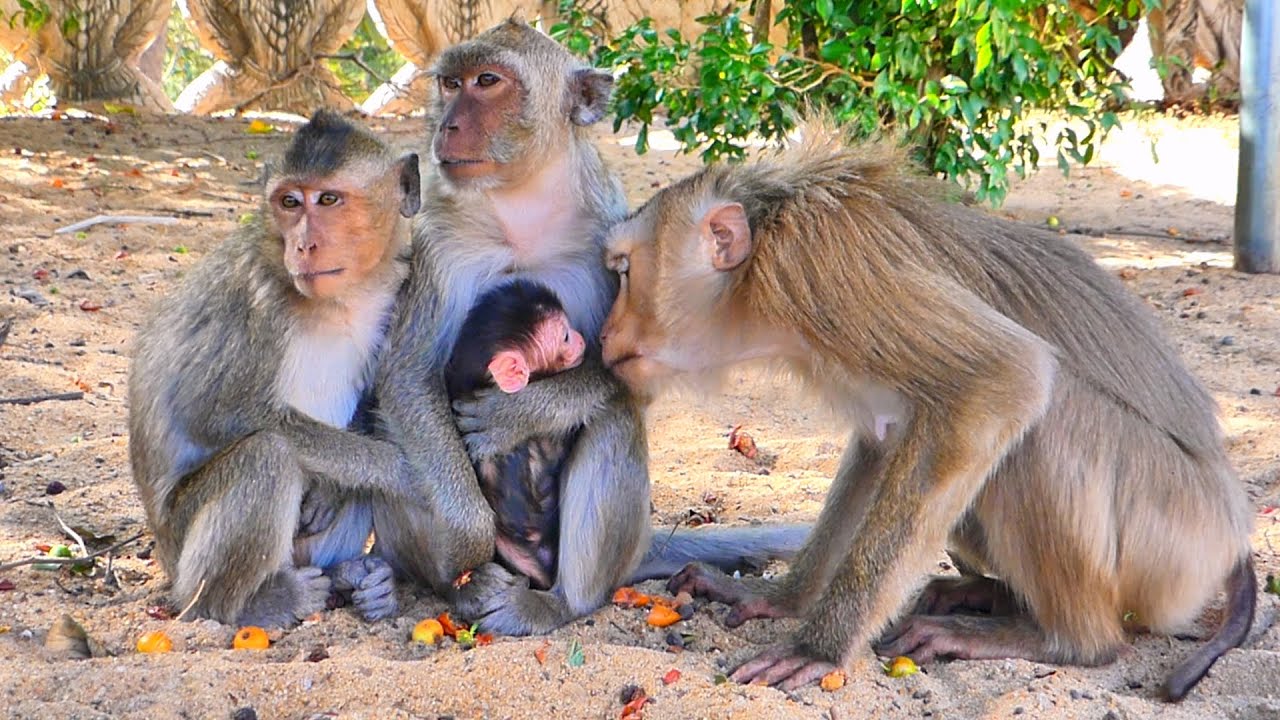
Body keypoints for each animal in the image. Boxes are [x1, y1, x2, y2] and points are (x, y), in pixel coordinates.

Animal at [127, 109, 423, 628]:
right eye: (289, 202)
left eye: (328, 199)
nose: (303, 245)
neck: (343, 299)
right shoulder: (254, 298)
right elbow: (212, 412)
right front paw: (392, 466)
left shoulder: (400, 286)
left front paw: (332, 490)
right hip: (180, 544)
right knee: (267, 454)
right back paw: (247, 603)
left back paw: (358, 580)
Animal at [599, 124, 1255, 700]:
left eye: (625, 272)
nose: (603, 333)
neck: (760, 269)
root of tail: (1232, 532)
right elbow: (886, 441)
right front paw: (784, 598)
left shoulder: (822, 267)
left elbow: (1000, 378)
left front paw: (819, 647)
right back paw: (995, 598)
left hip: (1172, 540)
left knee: (1042, 418)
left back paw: (1066, 641)